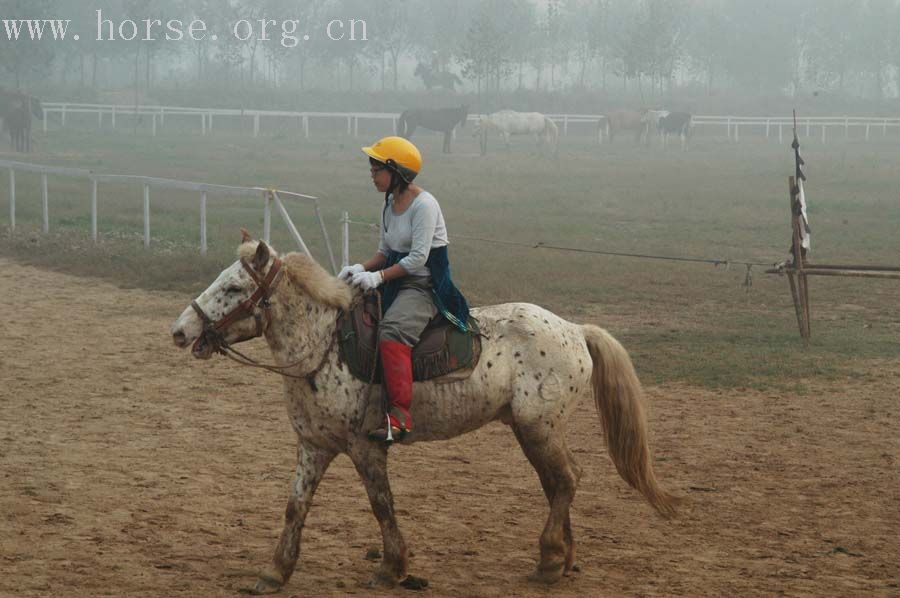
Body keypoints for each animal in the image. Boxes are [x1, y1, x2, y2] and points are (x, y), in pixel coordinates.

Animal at [169, 230, 680, 596]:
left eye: (234, 286)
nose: (180, 330)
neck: (323, 345)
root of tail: (574, 329)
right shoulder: (313, 446)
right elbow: (296, 506)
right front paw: (275, 572)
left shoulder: (365, 447)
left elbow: (382, 504)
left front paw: (392, 568)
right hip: (532, 430)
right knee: (558, 482)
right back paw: (561, 558)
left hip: (540, 428)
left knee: (566, 480)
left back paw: (552, 559)